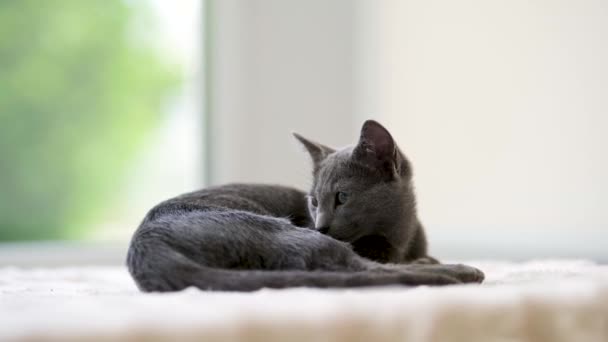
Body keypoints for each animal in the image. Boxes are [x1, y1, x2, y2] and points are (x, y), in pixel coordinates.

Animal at [127, 119, 484, 292]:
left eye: (342, 197)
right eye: (313, 201)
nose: (321, 224)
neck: (402, 238)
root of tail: (146, 249)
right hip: (280, 230)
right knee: (359, 268)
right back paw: (457, 272)